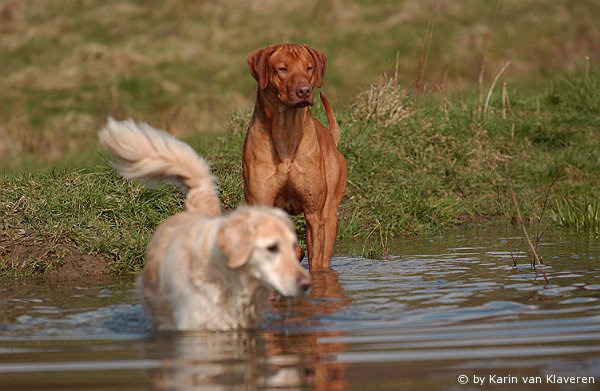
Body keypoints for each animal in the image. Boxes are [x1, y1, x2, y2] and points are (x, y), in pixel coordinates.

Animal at [243, 42, 346, 270]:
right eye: (283, 68)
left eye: (309, 68)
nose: (305, 90)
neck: (287, 133)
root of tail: (330, 136)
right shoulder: (262, 205)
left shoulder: (314, 215)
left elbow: (315, 261)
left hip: (330, 212)